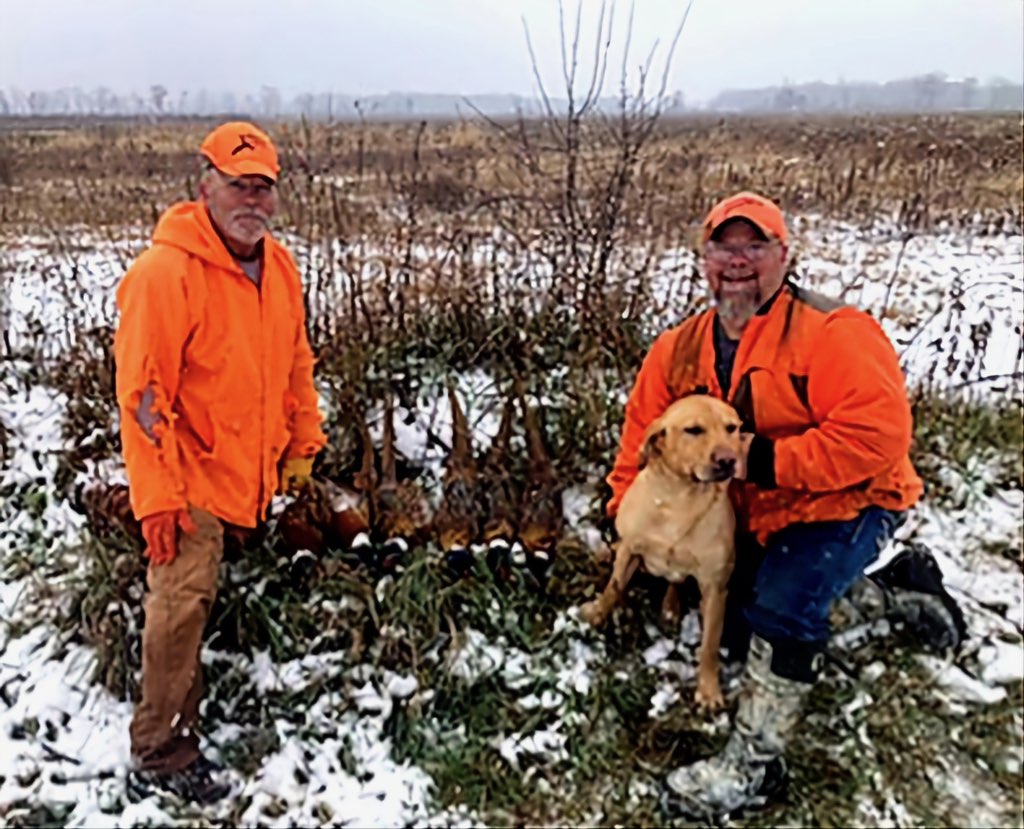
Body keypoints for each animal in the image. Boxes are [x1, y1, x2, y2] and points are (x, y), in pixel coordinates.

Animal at [581, 395, 744, 709]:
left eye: (731, 427)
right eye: (693, 430)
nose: (728, 459)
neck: (680, 502)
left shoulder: (715, 587)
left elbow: (710, 645)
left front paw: (708, 690)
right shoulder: (630, 550)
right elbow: (612, 589)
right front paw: (596, 616)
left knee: (675, 582)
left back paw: (670, 607)